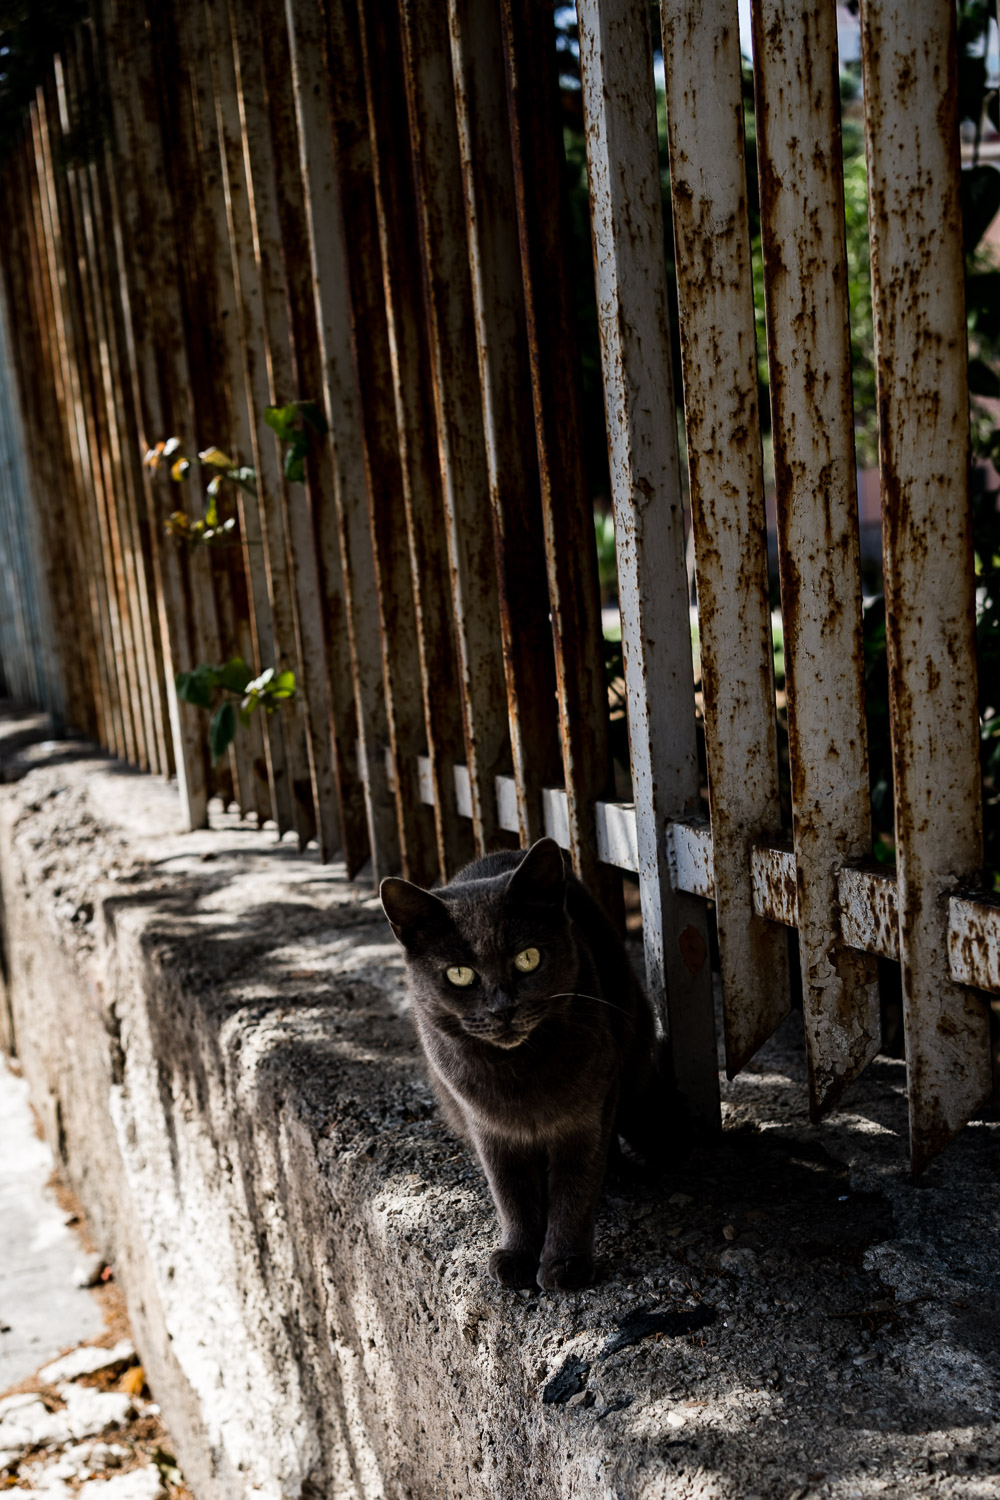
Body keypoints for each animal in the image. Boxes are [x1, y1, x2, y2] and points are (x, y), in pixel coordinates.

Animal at [379, 840, 659, 1296]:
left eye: (528, 958)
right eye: (460, 974)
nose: (503, 1009)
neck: (518, 1070)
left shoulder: (586, 1116)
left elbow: (574, 1190)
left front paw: (565, 1263)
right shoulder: (488, 1127)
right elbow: (511, 1192)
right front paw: (517, 1257)